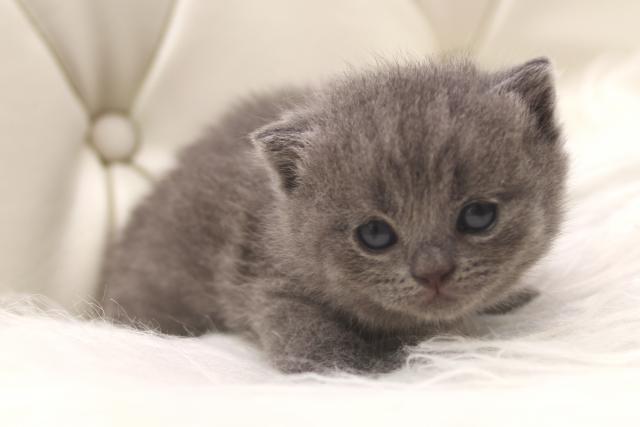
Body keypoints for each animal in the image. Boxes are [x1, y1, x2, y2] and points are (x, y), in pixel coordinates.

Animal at [102, 57, 568, 374]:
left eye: (478, 215)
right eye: (375, 234)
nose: (433, 272)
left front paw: (507, 298)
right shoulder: (265, 284)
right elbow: (315, 341)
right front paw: (384, 361)